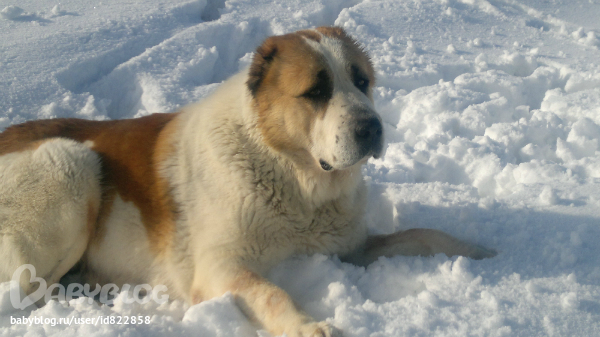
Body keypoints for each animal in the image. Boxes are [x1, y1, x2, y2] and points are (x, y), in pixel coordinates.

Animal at [0, 26, 494, 336]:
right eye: (316, 91)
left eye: (361, 81)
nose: (371, 128)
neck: (295, 181)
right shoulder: (220, 268)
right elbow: (271, 292)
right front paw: (308, 326)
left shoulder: (349, 248)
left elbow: (422, 234)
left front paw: (480, 251)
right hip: (71, 162)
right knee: (26, 290)